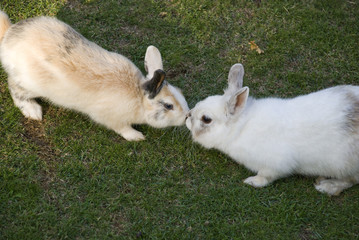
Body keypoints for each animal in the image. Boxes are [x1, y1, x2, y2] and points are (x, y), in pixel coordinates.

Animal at [0, 10, 190, 141]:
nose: (188, 115)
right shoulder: (112, 119)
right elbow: (123, 129)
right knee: (15, 90)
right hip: (28, 84)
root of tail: (8, 38)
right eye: (168, 106)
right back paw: (33, 111)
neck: (138, 97)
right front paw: (137, 136)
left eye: (181, 93)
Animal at [187, 63, 359, 195]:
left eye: (206, 119)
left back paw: (327, 186)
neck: (241, 128)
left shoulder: (276, 165)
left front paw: (252, 182)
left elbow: (265, 177)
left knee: (351, 180)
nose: (187, 116)